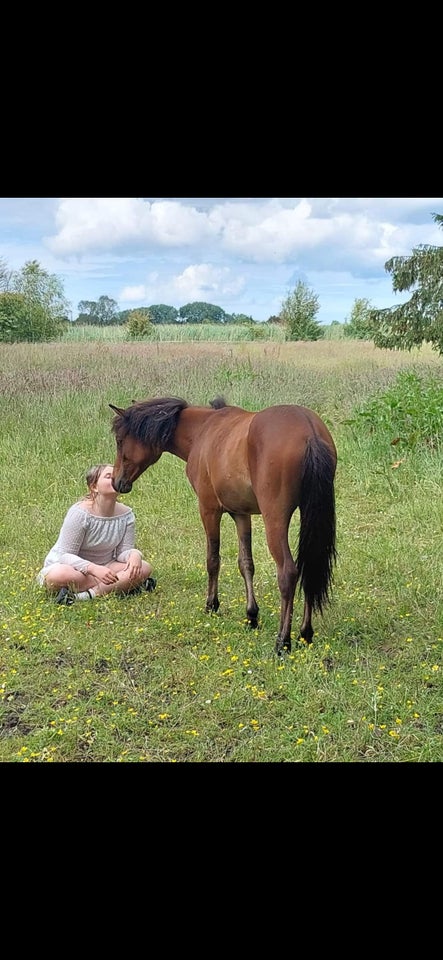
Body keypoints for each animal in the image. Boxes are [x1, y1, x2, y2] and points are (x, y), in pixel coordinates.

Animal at [109, 396, 338, 652]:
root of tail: (309, 431)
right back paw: (305, 634)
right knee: (310, 568)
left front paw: (212, 604)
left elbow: (213, 560)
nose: (117, 482)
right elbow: (246, 564)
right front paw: (251, 616)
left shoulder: (209, 510)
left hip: (275, 520)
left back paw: (283, 641)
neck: (203, 430)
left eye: (120, 441)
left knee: (288, 572)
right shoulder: (241, 514)